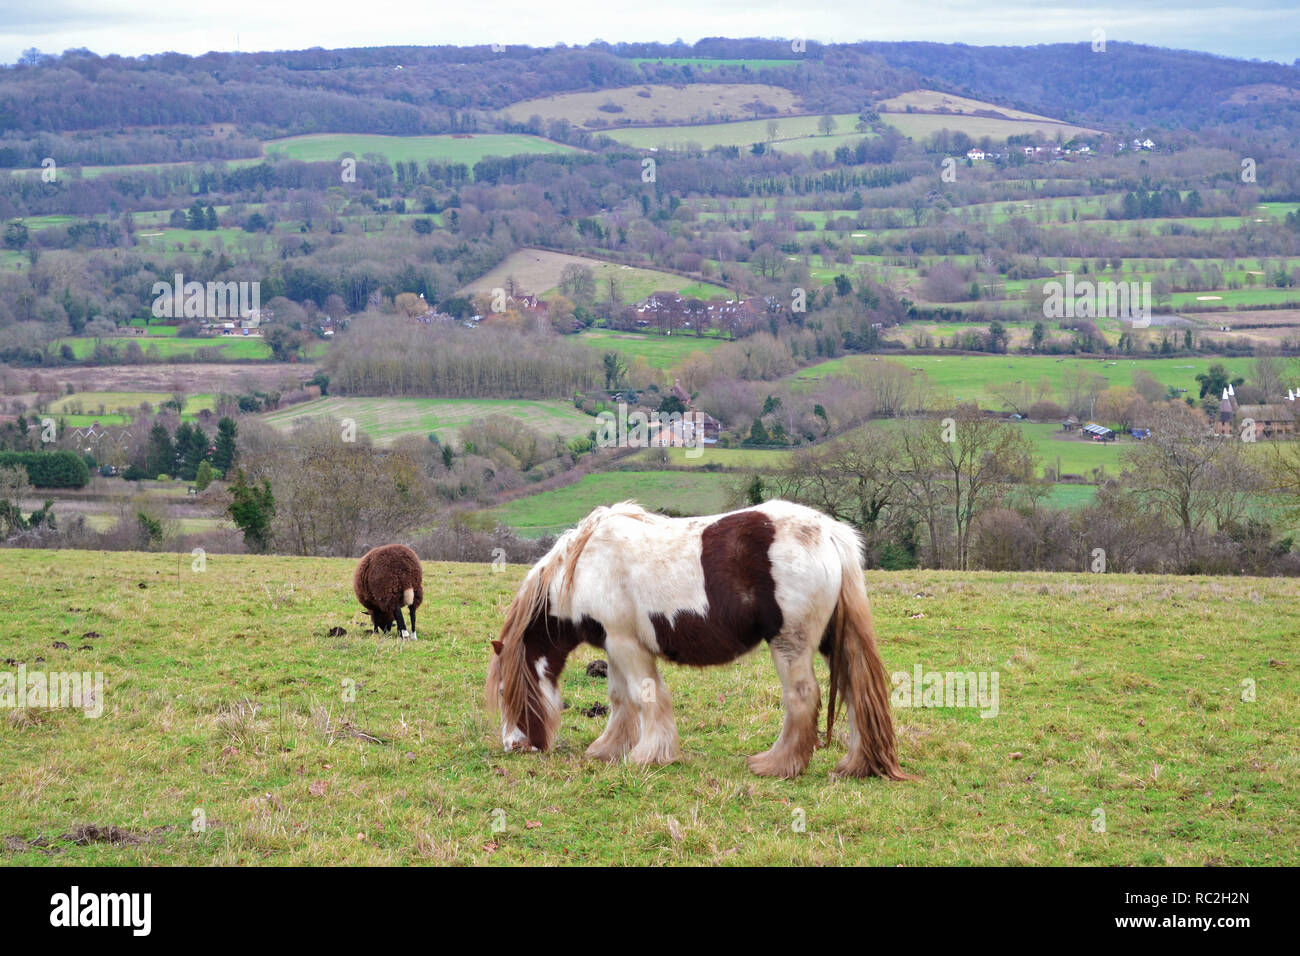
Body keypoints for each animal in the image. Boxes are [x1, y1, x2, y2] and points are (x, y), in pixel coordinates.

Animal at [483, 502, 909, 780]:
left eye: (505, 692)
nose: (513, 746)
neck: (585, 565)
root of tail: (830, 533)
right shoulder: (614, 646)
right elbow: (621, 699)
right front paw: (609, 750)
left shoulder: (627, 645)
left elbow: (646, 697)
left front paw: (649, 755)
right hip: (830, 643)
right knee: (855, 693)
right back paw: (855, 764)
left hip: (791, 644)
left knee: (802, 698)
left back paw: (775, 765)